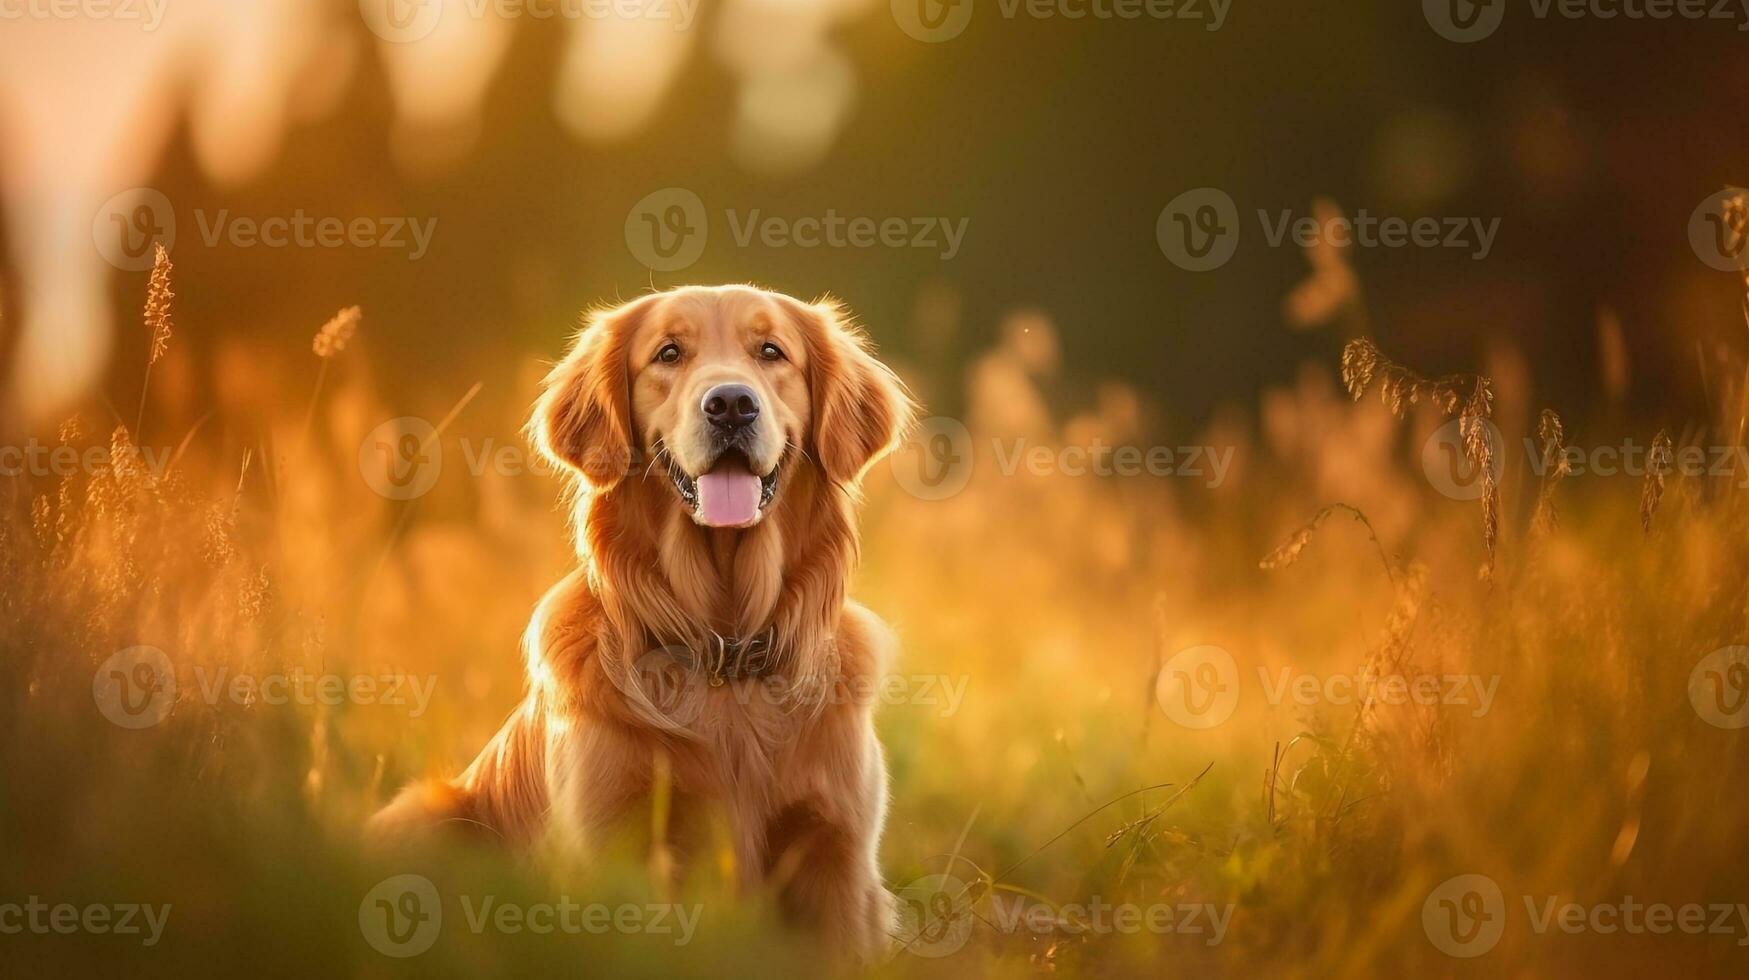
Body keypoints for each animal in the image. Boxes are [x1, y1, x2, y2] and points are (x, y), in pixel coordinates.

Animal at [367, 281, 916, 959]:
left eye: (771, 351)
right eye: (668, 353)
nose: (731, 404)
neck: (723, 650)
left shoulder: (835, 855)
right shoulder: (612, 846)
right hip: (424, 816)